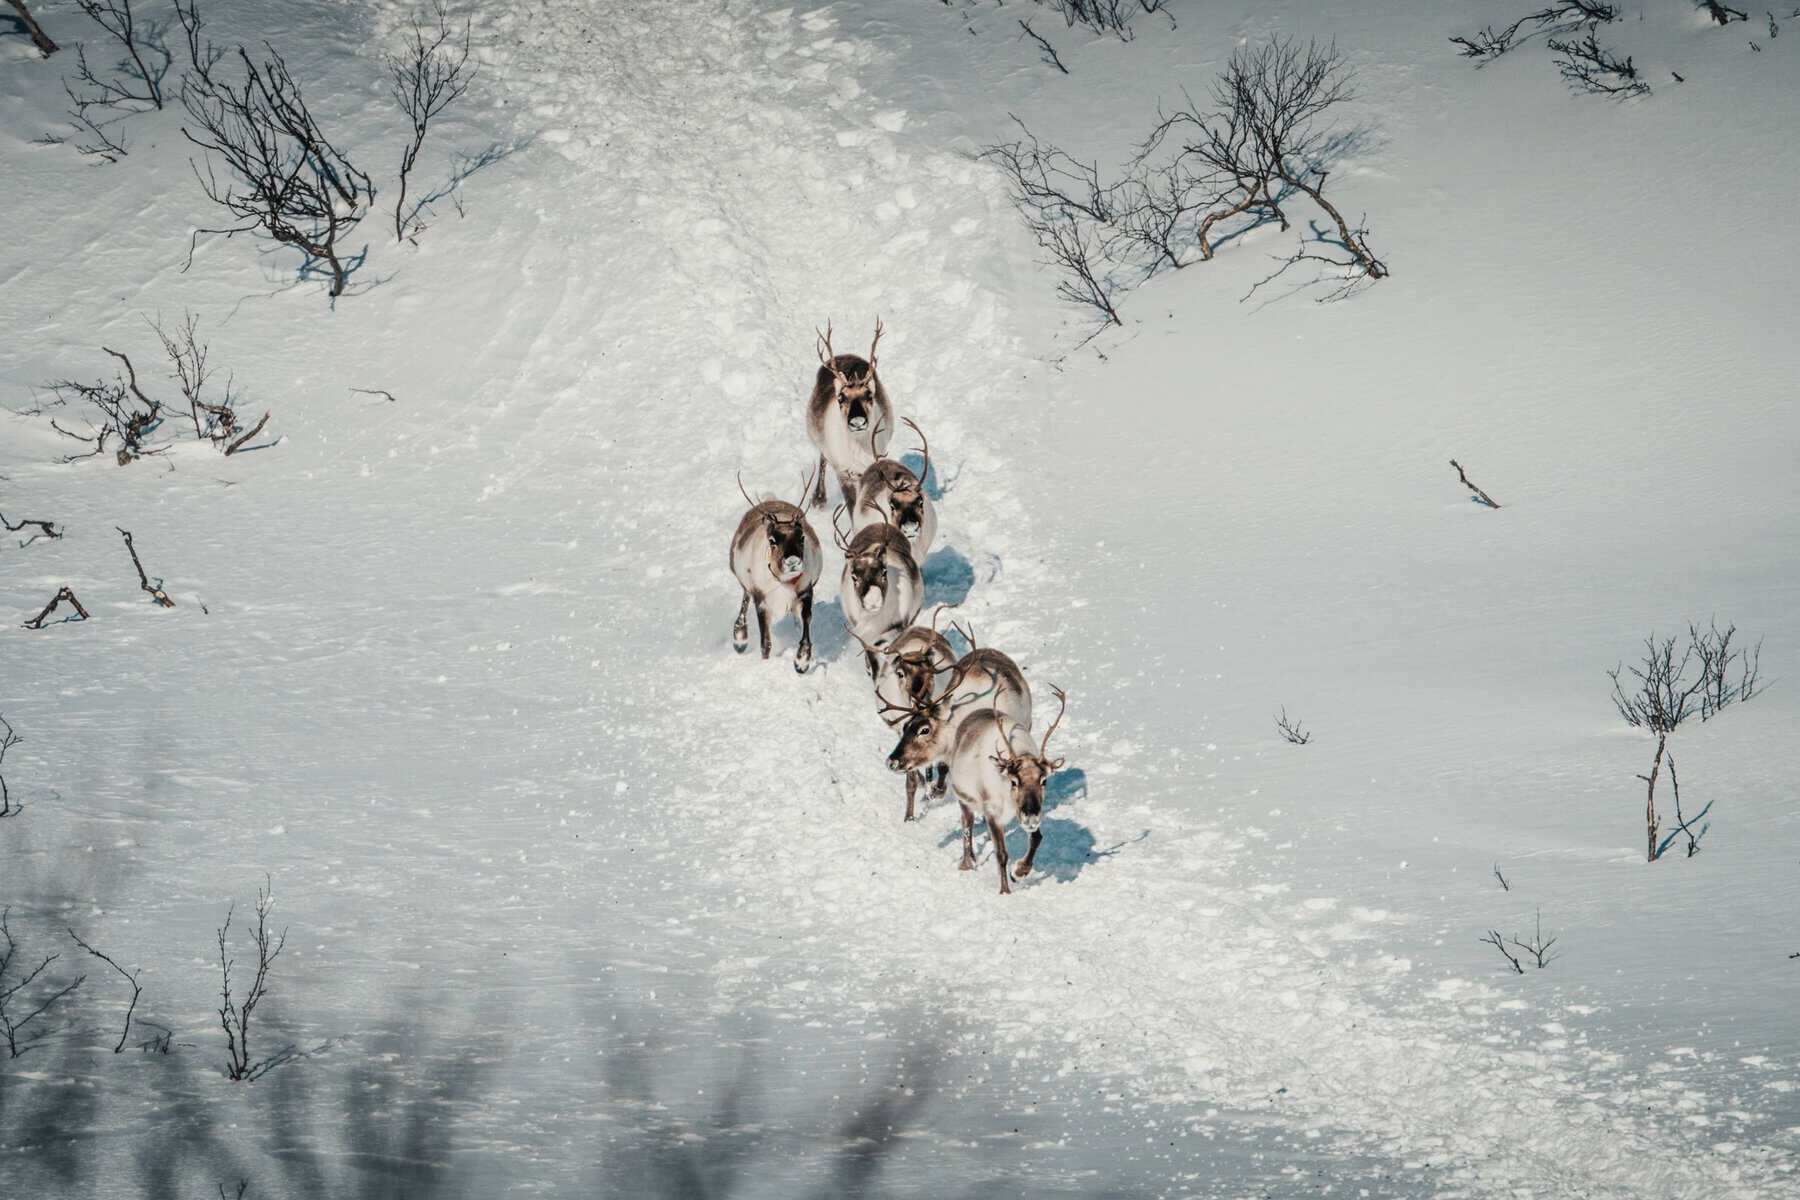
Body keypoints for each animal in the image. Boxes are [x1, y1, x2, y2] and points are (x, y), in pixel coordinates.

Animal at [730, 468, 823, 673]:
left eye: (802, 537)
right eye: (772, 540)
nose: (793, 561)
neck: (785, 582)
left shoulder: (806, 592)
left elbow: (806, 623)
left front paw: (801, 662)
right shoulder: (761, 598)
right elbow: (766, 642)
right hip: (746, 584)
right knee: (744, 600)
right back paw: (739, 640)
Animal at [806, 318, 893, 510]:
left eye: (869, 395)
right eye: (841, 398)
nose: (857, 422)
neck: (858, 448)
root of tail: (843, 355)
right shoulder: (843, 472)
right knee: (823, 459)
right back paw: (819, 498)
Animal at [946, 687, 1068, 896]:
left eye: (1044, 780)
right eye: (1014, 781)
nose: (1030, 815)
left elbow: (1037, 838)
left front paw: (1018, 872)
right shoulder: (992, 813)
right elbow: (1001, 854)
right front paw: (1004, 890)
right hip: (963, 797)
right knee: (967, 823)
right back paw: (967, 862)